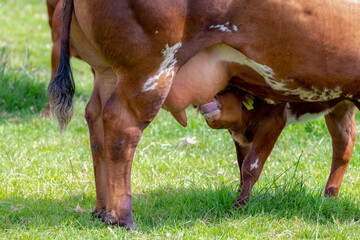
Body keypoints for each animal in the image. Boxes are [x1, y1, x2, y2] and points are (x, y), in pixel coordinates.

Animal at [202, 86, 358, 206]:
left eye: (228, 88)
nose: (205, 106)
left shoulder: (273, 122)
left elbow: (251, 166)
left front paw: (240, 205)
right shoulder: (239, 136)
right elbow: (241, 165)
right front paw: (240, 194)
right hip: (340, 108)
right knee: (345, 140)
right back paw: (330, 197)